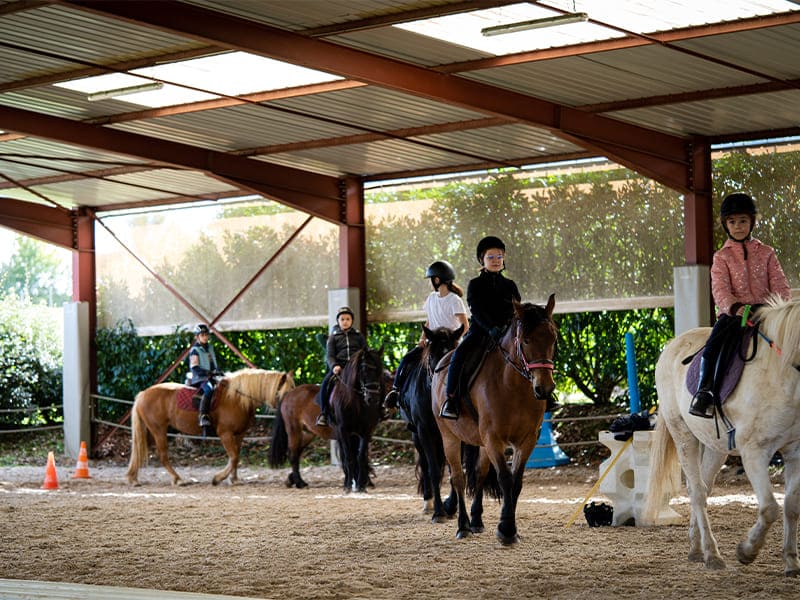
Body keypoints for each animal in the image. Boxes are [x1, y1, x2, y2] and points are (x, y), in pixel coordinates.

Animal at [127, 366, 294, 488]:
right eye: (285, 392)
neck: (236, 397)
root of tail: (143, 394)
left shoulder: (239, 434)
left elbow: (236, 456)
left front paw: (234, 479)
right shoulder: (225, 433)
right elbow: (234, 456)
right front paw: (218, 478)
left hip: (150, 431)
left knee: (140, 450)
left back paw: (133, 478)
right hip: (159, 430)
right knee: (162, 456)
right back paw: (178, 479)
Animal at [398, 324, 462, 520]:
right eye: (434, 356)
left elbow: (454, 469)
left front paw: (451, 506)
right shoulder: (424, 430)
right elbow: (433, 469)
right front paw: (439, 512)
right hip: (416, 436)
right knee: (426, 466)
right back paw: (428, 502)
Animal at [432, 296, 556, 544]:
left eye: (553, 338)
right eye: (526, 340)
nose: (545, 388)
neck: (513, 386)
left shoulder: (527, 440)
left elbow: (516, 481)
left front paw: (510, 527)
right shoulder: (493, 438)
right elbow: (505, 479)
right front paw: (506, 529)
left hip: (480, 442)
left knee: (479, 473)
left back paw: (476, 521)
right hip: (449, 436)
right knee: (458, 478)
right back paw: (463, 525)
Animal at [644, 296, 800, 576]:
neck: (781, 374)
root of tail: (672, 344)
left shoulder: (795, 451)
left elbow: (791, 506)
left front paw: (791, 561)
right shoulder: (754, 453)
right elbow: (770, 507)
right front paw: (747, 552)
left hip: (715, 447)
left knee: (703, 489)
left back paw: (697, 549)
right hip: (683, 435)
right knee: (696, 492)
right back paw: (712, 554)